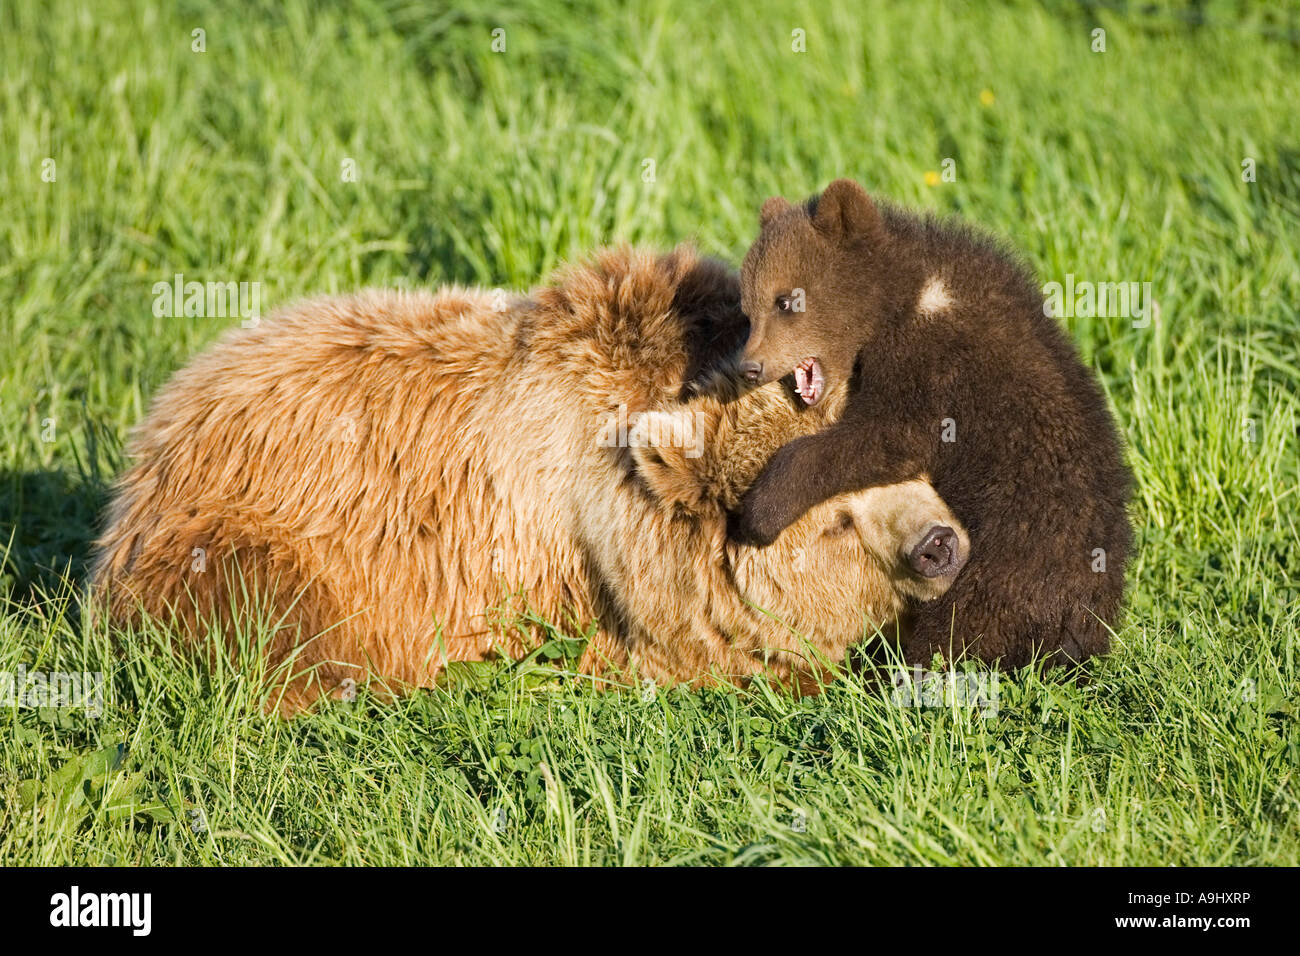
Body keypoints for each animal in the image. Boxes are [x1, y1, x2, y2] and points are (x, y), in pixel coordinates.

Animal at [729, 179, 1132, 670]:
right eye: (748, 309)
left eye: (785, 300)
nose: (750, 366)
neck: (901, 298)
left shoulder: (933, 363)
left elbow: (888, 437)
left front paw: (759, 510)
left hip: (1007, 563)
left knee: (957, 629)